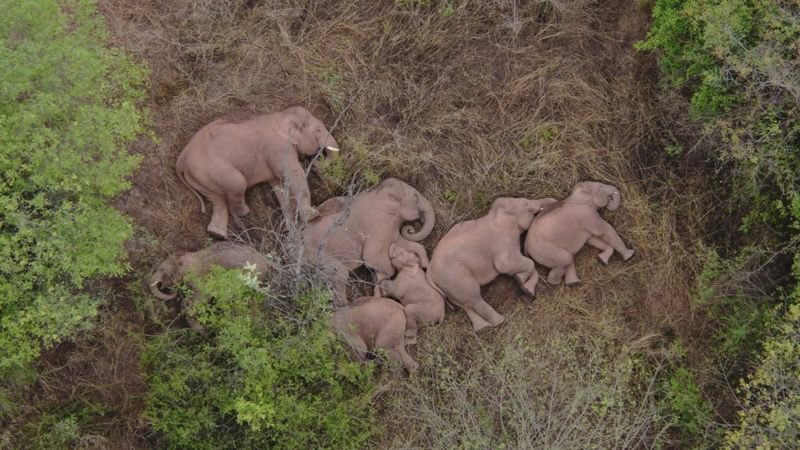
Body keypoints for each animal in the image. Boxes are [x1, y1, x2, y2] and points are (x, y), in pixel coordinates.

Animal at [176, 106, 340, 239]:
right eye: (318, 130)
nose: (317, 161)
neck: (282, 114)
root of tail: (181, 158)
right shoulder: (278, 147)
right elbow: (293, 174)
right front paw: (313, 215)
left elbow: (279, 186)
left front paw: (290, 230)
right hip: (212, 170)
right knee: (238, 184)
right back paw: (244, 213)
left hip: (201, 178)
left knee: (217, 200)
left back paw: (217, 235)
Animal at [304, 178, 435, 306]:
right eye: (416, 197)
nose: (411, 229)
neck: (376, 192)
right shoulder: (377, 223)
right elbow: (371, 257)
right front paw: (382, 287)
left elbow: (402, 243)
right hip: (318, 256)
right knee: (340, 273)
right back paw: (346, 304)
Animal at [427, 197, 557, 332]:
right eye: (525, 203)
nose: (555, 201)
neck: (495, 215)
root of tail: (429, 272)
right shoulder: (503, 240)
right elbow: (508, 264)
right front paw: (521, 280)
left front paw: (524, 286)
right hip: (456, 278)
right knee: (474, 298)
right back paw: (500, 321)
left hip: (448, 286)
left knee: (465, 303)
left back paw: (483, 328)